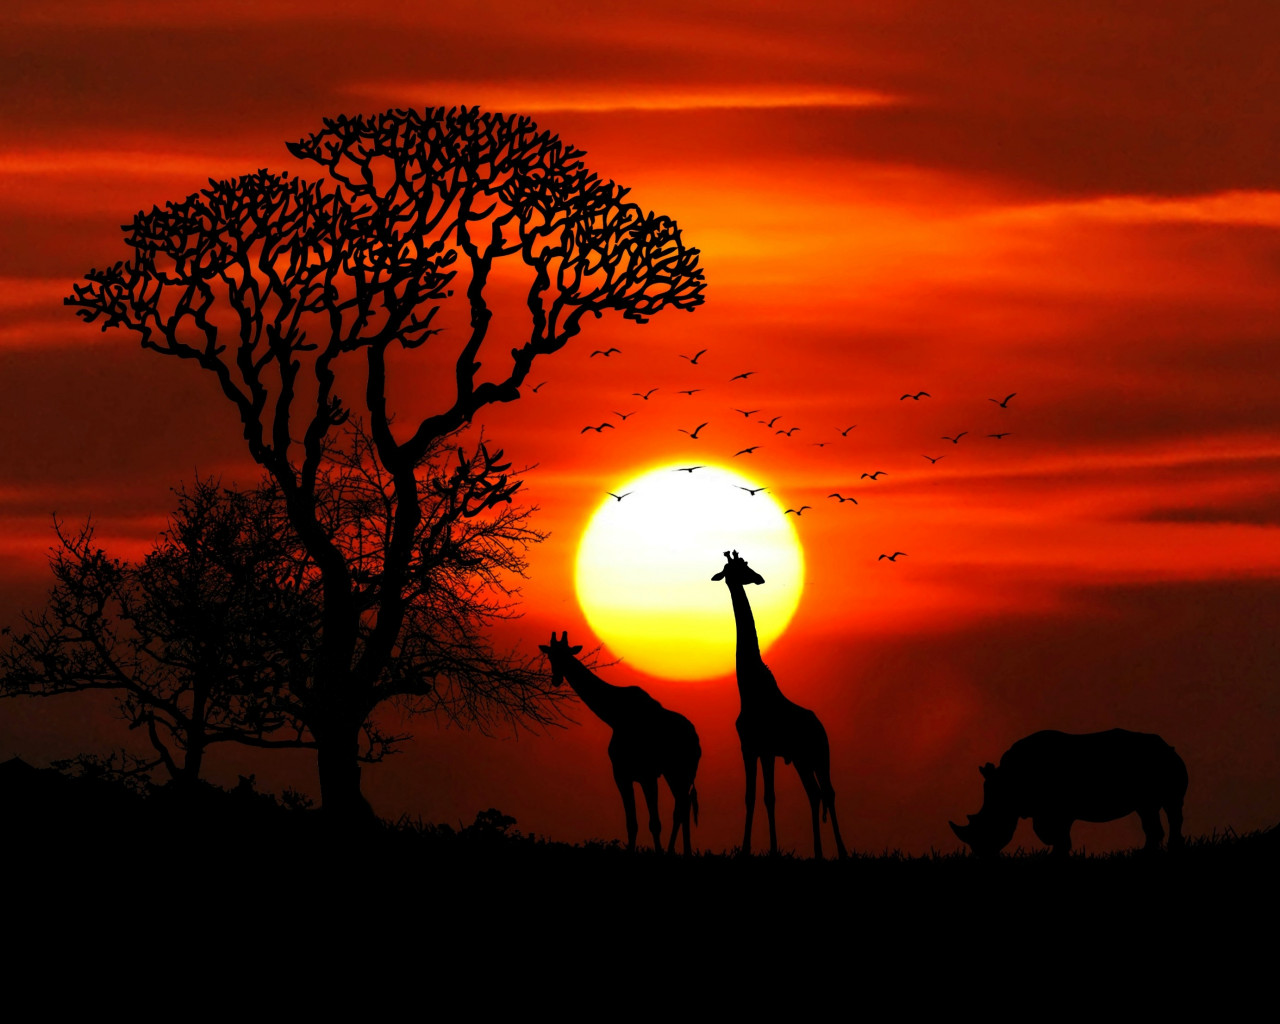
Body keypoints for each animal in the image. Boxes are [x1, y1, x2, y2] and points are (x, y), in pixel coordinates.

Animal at [539, 631, 701, 854]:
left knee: (682, 808)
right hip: (674, 774)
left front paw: (658, 853)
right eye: (550, 656)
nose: (556, 679)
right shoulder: (622, 774)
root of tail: (696, 740)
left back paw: (676, 852)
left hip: (681, 772)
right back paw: (680, 851)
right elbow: (631, 823)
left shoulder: (647, 775)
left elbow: (654, 823)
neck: (615, 716)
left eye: (567, 655)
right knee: (682, 807)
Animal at [712, 550, 848, 859]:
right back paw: (818, 851)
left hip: (819, 754)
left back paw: (842, 851)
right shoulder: (751, 749)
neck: (749, 690)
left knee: (829, 792)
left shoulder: (766, 750)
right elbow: (752, 797)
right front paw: (746, 849)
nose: (759, 578)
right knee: (814, 793)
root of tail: (820, 725)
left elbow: (768, 797)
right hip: (800, 759)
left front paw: (773, 849)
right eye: (738, 568)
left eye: (746, 564)